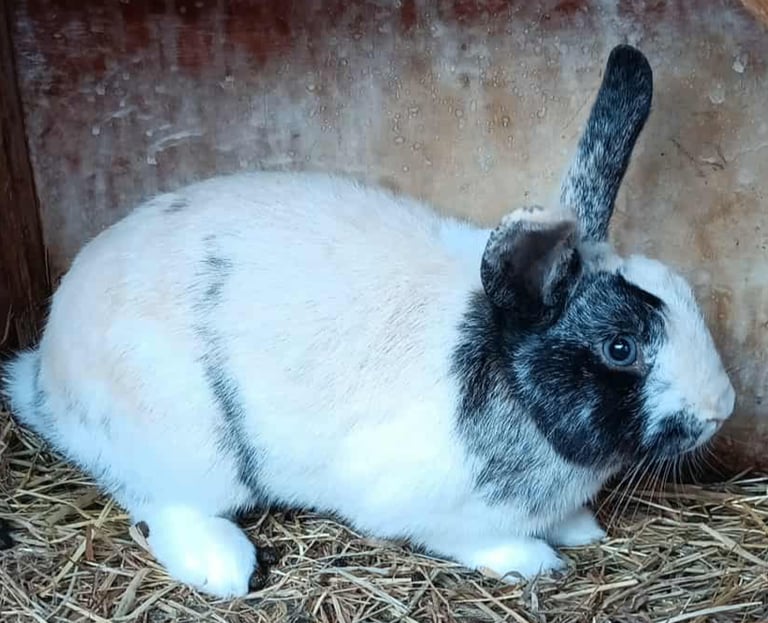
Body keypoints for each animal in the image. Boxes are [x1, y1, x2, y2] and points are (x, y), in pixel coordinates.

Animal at [2, 44, 734, 598]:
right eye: (620, 347)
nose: (722, 408)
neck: (502, 367)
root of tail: (45, 373)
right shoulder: (425, 504)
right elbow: (475, 537)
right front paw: (536, 560)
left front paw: (580, 527)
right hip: (191, 449)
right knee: (164, 504)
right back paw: (226, 566)